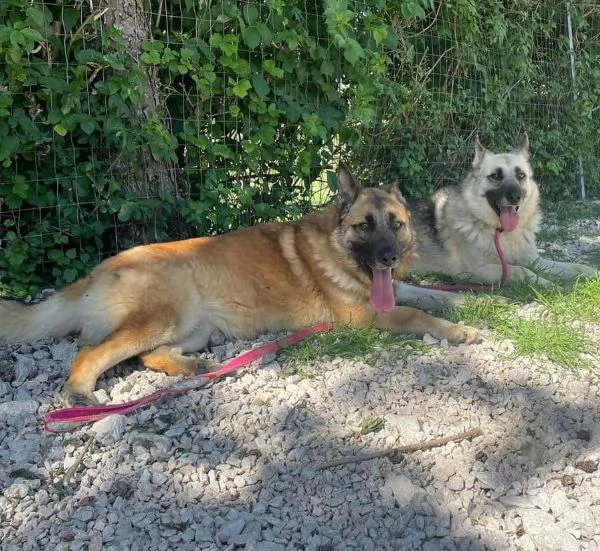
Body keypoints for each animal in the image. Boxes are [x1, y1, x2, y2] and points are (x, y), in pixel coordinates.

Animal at [0, 164, 478, 406]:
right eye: (365, 225)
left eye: (396, 224)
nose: (389, 258)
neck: (337, 247)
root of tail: (98, 270)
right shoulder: (367, 316)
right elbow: (417, 312)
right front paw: (457, 330)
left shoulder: (389, 292)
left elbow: (428, 294)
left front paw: (468, 303)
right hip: (160, 317)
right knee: (91, 353)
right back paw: (80, 394)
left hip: (195, 330)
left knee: (149, 356)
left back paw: (192, 368)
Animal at [396, 134, 596, 310]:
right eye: (495, 176)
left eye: (521, 175)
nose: (515, 197)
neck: (502, 233)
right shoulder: (476, 270)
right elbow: (521, 270)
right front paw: (550, 285)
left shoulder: (533, 260)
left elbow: (571, 266)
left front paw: (592, 273)